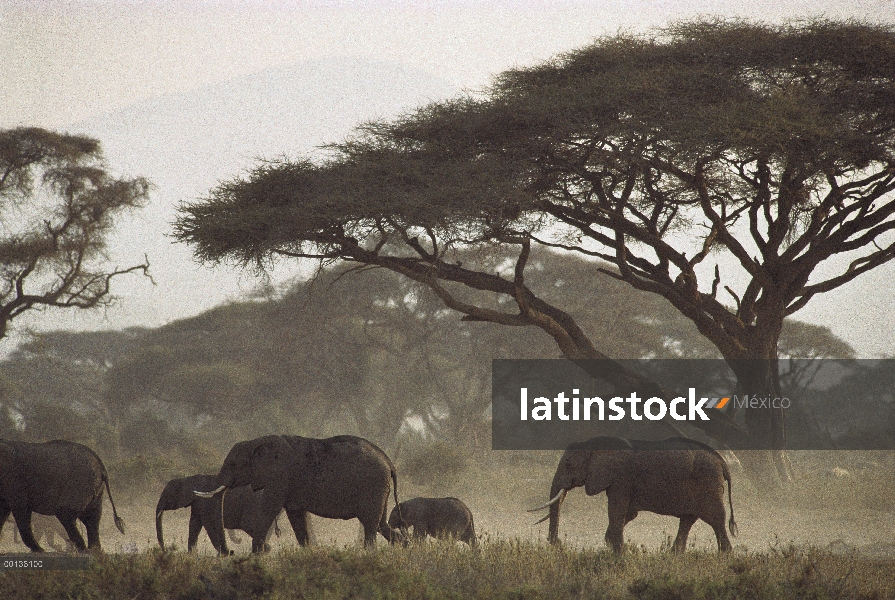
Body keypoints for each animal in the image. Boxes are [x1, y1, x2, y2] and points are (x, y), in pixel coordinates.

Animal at [200, 434, 406, 552]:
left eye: (233, 464)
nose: (232, 552)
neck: (256, 442)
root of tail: (389, 462)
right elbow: (296, 515)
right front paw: (308, 552)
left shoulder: (280, 475)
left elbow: (269, 509)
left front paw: (256, 555)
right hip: (380, 489)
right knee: (380, 524)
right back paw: (405, 547)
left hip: (373, 485)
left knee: (371, 524)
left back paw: (368, 554)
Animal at [532, 436, 736, 552]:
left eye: (568, 464)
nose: (558, 544)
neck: (593, 445)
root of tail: (722, 462)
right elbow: (628, 513)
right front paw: (618, 546)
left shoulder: (622, 478)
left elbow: (616, 511)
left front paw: (620, 552)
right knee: (687, 520)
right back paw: (673, 556)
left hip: (708, 483)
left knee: (715, 519)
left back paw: (724, 556)